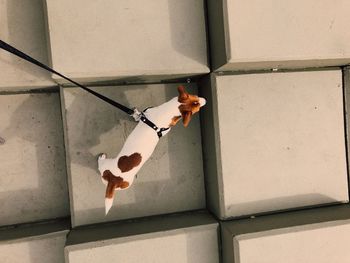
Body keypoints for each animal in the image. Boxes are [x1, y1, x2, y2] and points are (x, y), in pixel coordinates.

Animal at [97, 85, 206, 216]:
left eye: (195, 97)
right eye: (197, 107)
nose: (205, 100)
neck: (168, 110)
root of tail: (113, 180)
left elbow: (138, 116)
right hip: (119, 176)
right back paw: (101, 157)